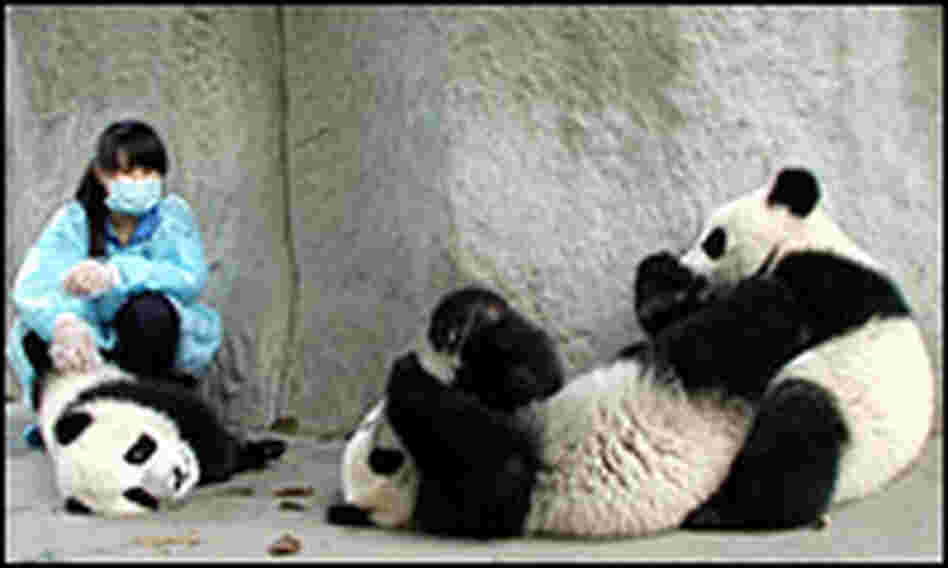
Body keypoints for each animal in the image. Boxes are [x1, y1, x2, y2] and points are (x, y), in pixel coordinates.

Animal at [24, 312, 287, 517]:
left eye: (137, 452)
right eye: (138, 494)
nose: (177, 477)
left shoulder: (140, 394)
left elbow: (207, 431)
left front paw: (259, 451)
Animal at [380, 166, 936, 538]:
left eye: (713, 239)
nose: (689, 265)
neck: (806, 238)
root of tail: (857, 486)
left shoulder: (820, 282)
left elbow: (777, 316)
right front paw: (661, 284)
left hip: (837, 398)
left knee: (797, 431)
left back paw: (724, 513)